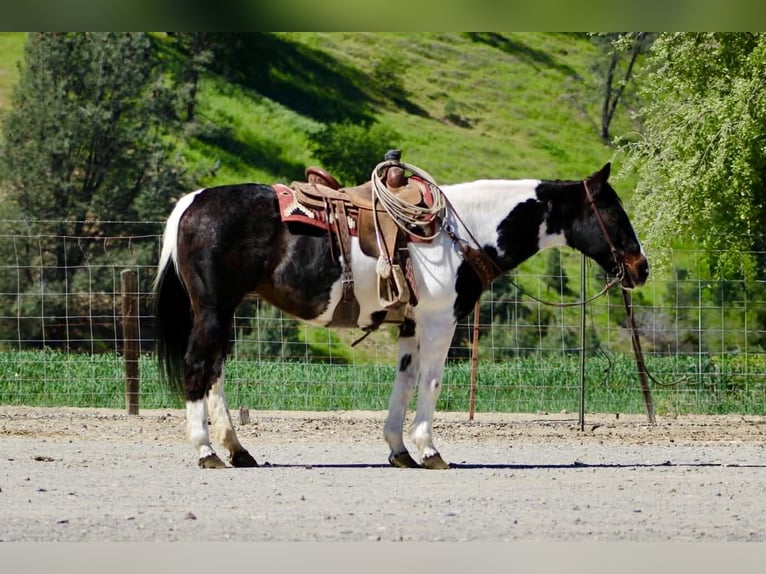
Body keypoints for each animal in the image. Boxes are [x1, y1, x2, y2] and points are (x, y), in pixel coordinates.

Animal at [153, 161, 649, 469]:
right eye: (612, 212)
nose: (641, 267)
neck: (459, 230)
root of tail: (192, 201)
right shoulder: (440, 321)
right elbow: (431, 382)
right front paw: (429, 450)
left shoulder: (411, 324)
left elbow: (405, 382)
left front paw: (399, 450)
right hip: (214, 310)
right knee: (198, 367)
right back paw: (206, 451)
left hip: (223, 313)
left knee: (215, 372)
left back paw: (238, 451)